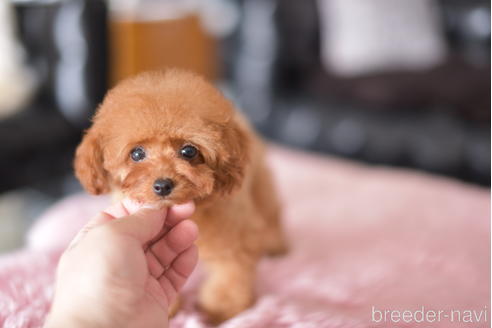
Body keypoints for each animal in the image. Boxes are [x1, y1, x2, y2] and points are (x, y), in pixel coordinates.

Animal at [74, 69, 286, 322]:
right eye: (136, 153)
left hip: (260, 183)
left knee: (270, 210)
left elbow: (231, 272)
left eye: (188, 151)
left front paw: (221, 309)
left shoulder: (235, 237)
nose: (163, 185)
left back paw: (275, 242)